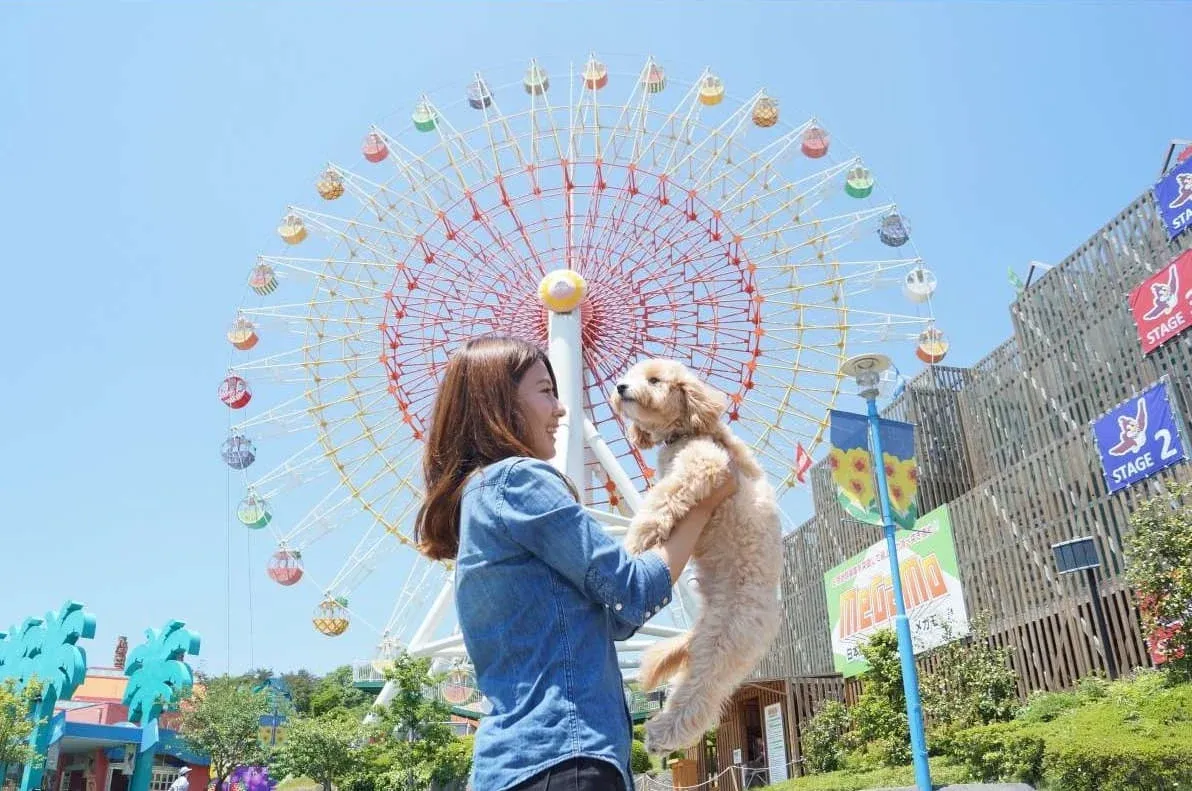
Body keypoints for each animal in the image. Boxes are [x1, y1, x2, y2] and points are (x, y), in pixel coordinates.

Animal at [610, 357, 786, 752]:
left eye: (654, 380)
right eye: (630, 374)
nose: (620, 388)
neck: (687, 431)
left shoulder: (703, 466)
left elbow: (659, 502)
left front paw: (634, 541)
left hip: (724, 643)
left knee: (700, 697)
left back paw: (661, 735)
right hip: (704, 641)